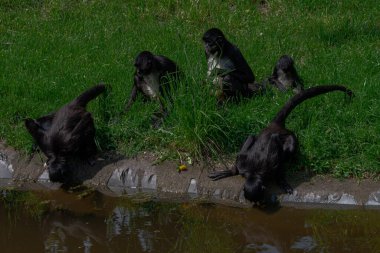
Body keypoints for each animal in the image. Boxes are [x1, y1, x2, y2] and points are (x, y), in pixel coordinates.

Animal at [209, 86, 352, 203]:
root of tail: (275, 125)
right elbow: (242, 156)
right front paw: (230, 171)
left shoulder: (268, 166)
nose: (259, 203)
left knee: (288, 147)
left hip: (291, 136)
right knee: (252, 136)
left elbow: (276, 159)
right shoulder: (243, 166)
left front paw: (281, 181)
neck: (254, 173)